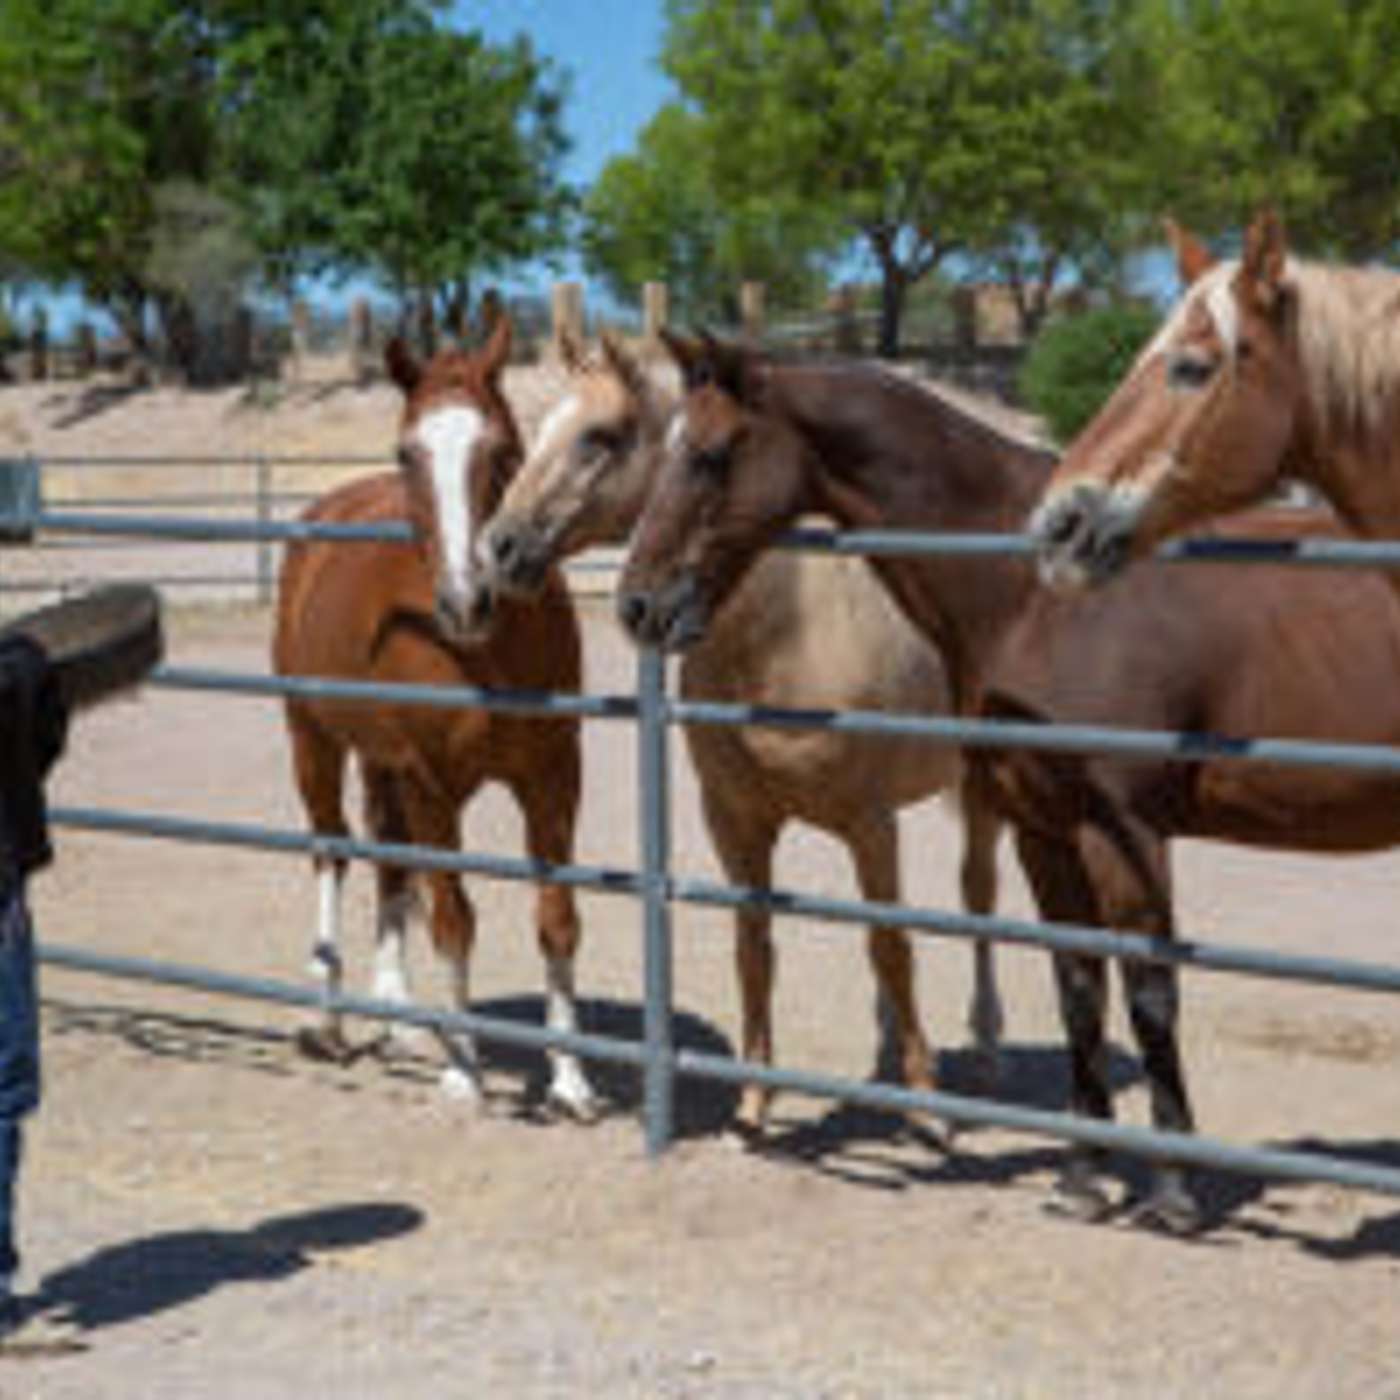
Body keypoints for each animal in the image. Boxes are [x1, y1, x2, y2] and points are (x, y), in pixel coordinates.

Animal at [272, 319, 598, 1120]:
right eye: (407, 452)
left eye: (505, 448)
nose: (466, 600)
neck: (485, 656)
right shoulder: (430, 783)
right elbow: (453, 918)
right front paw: (465, 1071)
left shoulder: (553, 777)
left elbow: (557, 918)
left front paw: (572, 1079)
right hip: (312, 741)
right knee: (333, 850)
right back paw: (330, 1015)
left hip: (380, 763)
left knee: (389, 863)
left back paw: (399, 1017)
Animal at [476, 331, 1004, 1134]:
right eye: (535, 432)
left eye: (601, 436)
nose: (499, 547)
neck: (787, 635)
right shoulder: (734, 819)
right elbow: (754, 947)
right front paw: (756, 1097)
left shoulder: (871, 823)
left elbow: (891, 944)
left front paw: (925, 1103)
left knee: (978, 893)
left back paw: (988, 1039)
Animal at [617, 334, 1400, 1232]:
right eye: (664, 450)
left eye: (711, 456)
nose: (636, 605)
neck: (1035, 595)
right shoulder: (1044, 831)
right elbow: (1079, 987)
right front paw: (1084, 1177)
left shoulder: (1126, 833)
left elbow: (1149, 989)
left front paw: (1171, 1191)